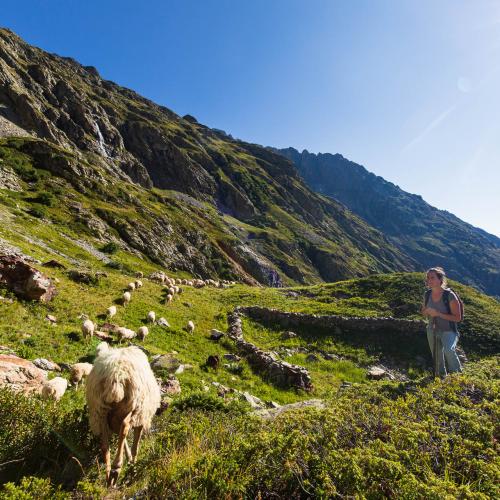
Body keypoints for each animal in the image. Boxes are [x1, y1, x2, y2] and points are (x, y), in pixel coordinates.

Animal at [86, 342, 160, 486]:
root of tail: (116, 373)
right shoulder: (141, 417)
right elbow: (135, 445)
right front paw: (132, 464)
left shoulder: (113, 419)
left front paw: (130, 461)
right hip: (133, 404)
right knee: (125, 427)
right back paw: (116, 468)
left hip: (100, 409)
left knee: (105, 442)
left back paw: (109, 475)